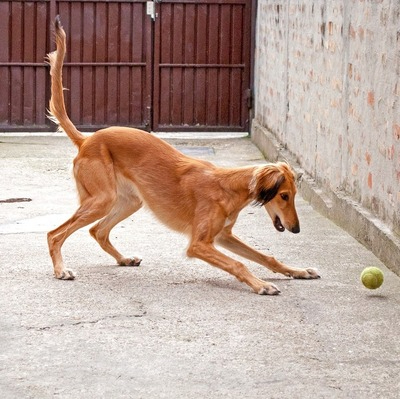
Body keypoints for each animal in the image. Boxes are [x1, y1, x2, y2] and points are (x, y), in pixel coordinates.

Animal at [45, 15, 318, 296]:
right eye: (283, 196)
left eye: (293, 195)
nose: (296, 229)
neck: (230, 188)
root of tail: (87, 139)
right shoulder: (199, 244)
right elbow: (239, 264)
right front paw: (261, 285)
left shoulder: (223, 236)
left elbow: (266, 257)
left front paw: (297, 271)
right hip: (102, 199)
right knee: (54, 234)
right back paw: (61, 270)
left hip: (130, 201)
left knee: (98, 231)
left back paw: (124, 259)